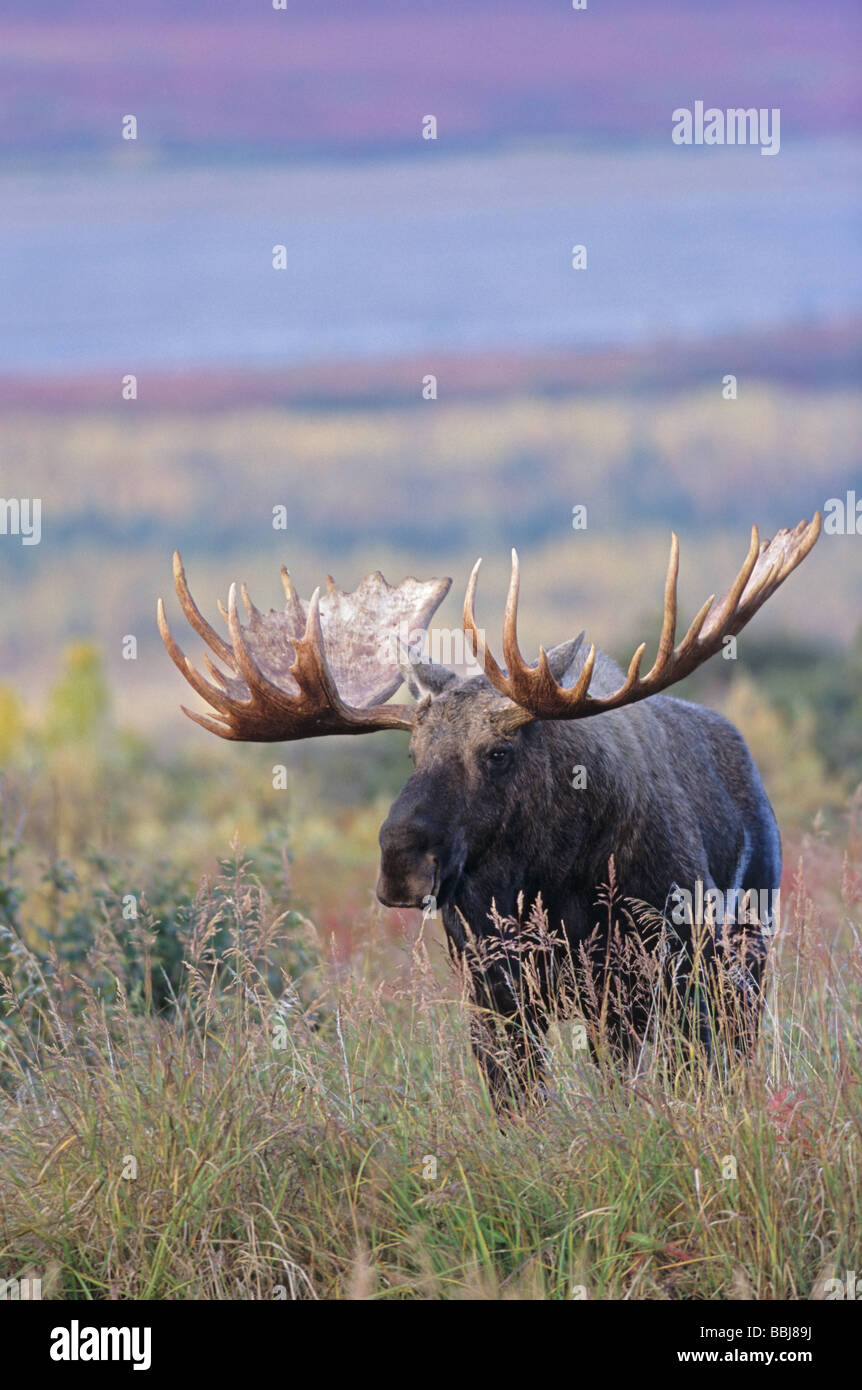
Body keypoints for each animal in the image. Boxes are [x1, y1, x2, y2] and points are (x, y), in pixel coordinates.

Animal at [159, 517, 823, 1100]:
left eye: (499, 752)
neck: (555, 884)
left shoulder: (655, 974)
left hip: (742, 957)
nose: (401, 863)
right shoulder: (492, 991)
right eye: (412, 751)